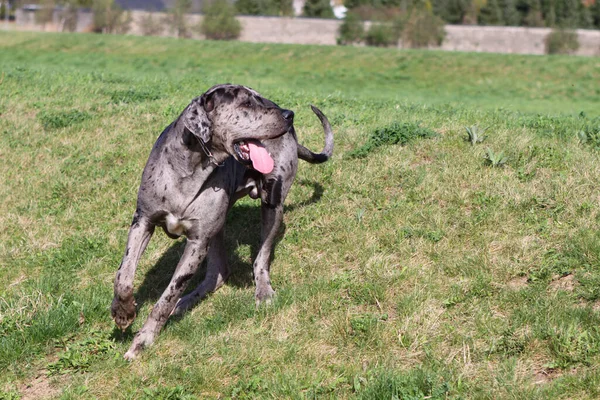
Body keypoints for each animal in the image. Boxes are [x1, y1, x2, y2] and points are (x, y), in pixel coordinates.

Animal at [109, 84, 332, 360]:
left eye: (261, 98)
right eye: (246, 103)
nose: (289, 115)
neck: (190, 170)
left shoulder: (197, 241)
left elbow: (166, 297)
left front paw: (143, 340)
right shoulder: (143, 220)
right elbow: (124, 275)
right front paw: (123, 312)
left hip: (272, 207)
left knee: (260, 259)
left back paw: (262, 291)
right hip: (218, 225)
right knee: (218, 273)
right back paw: (186, 302)